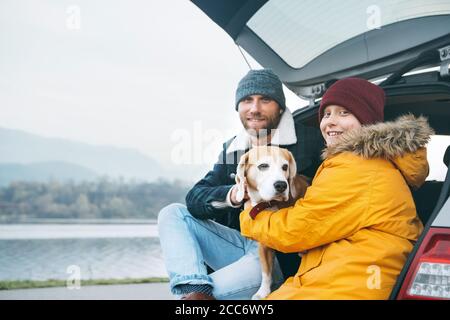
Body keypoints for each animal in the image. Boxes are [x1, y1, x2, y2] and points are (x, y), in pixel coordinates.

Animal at [234, 146, 308, 300]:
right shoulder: (264, 246)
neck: (268, 205)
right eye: (263, 166)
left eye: (285, 167)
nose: (281, 185)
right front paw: (263, 291)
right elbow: (266, 271)